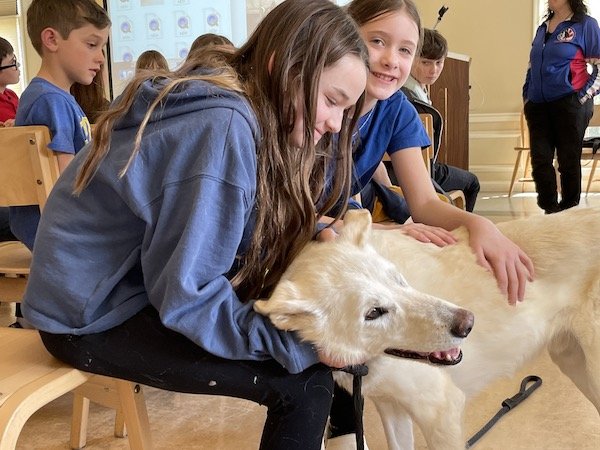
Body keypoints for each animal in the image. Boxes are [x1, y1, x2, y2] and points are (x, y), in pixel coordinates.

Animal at [255, 209, 600, 450]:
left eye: (398, 278)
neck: (368, 359)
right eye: (373, 312)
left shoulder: (441, 411)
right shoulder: (392, 408)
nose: (468, 323)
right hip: (574, 363)